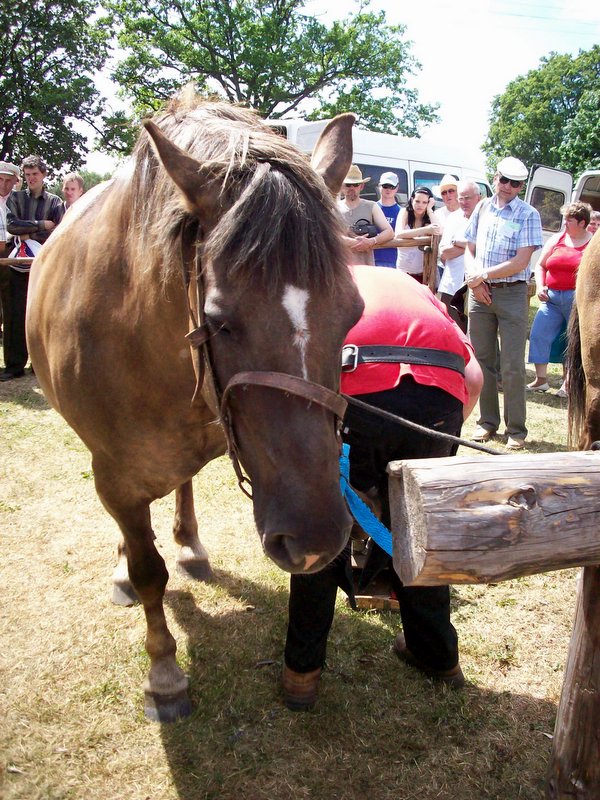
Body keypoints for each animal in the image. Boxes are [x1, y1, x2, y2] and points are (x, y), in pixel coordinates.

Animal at [26, 91, 364, 721]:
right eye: (219, 321)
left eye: (352, 313)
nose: (315, 541)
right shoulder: (113, 479)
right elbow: (147, 572)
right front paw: (164, 674)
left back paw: (189, 545)